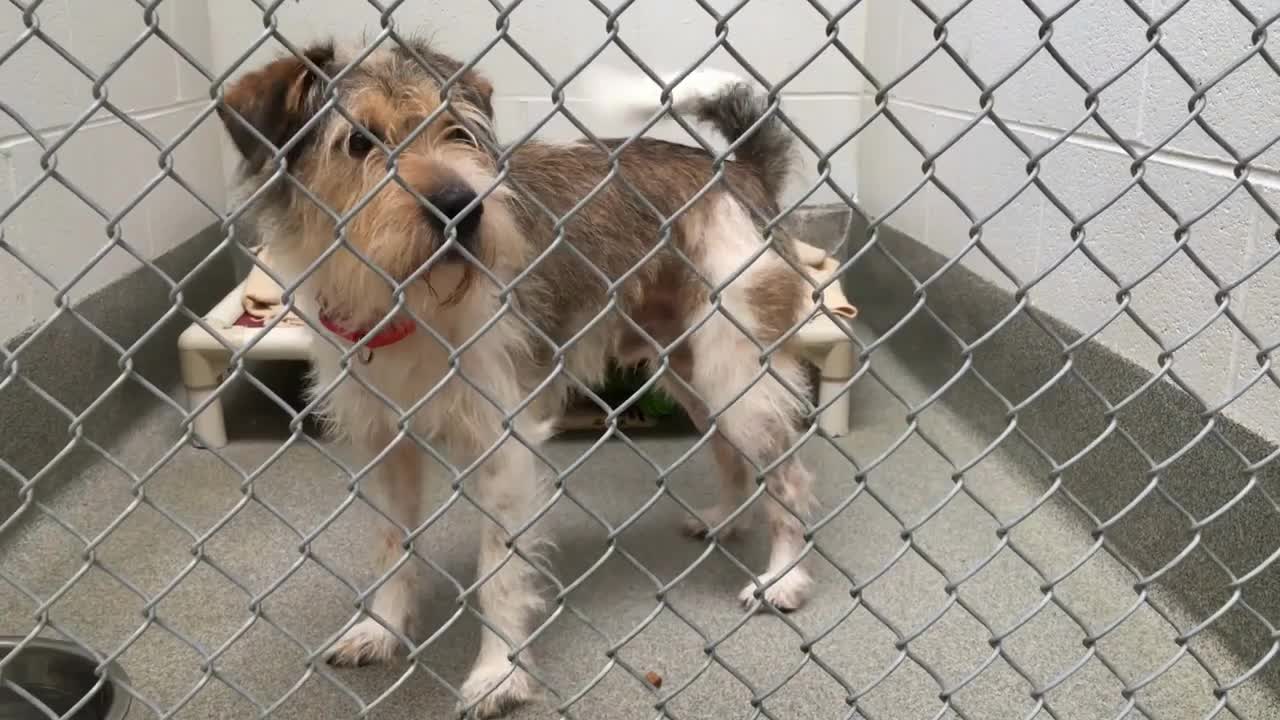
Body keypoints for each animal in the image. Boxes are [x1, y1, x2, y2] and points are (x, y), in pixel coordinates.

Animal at [218, 37, 814, 712]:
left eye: (458, 131)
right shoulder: (384, 446)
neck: (412, 301)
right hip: (693, 374)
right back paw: (726, 520)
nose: (462, 209)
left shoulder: (503, 446)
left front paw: (498, 674)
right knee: (730, 455)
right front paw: (382, 630)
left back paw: (784, 580)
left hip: (735, 372)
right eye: (358, 142)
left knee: (789, 478)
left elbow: (497, 574)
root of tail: (738, 170)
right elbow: (392, 550)